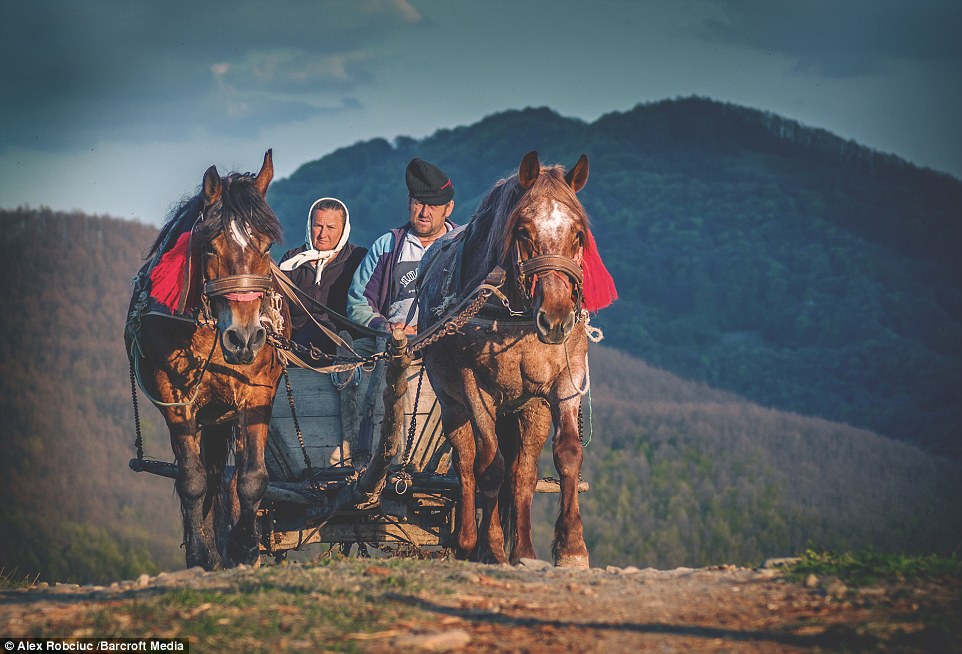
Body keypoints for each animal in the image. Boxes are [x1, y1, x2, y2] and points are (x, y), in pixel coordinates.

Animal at [125, 151, 286, 572]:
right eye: (210, 247)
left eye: (267, 247)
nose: (244, 338)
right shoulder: (176, 399)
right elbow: (193, 480)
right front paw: (201, 554)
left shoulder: (257, 393)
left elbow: (251, 477)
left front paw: (245, 549)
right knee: (208, 476)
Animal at [418, 151, 608, 568]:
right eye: (522, 231)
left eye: (578, 234)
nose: (556, 319)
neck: (514, 315)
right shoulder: (475, 389)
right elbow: (490, 467)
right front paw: (490, 547)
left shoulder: (565, 381)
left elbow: (566, 454)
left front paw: (571, 548)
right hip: (452, 403)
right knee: (467, 461)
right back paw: (468, 541)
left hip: (528, 408)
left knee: (523, 473)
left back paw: (523, 550)